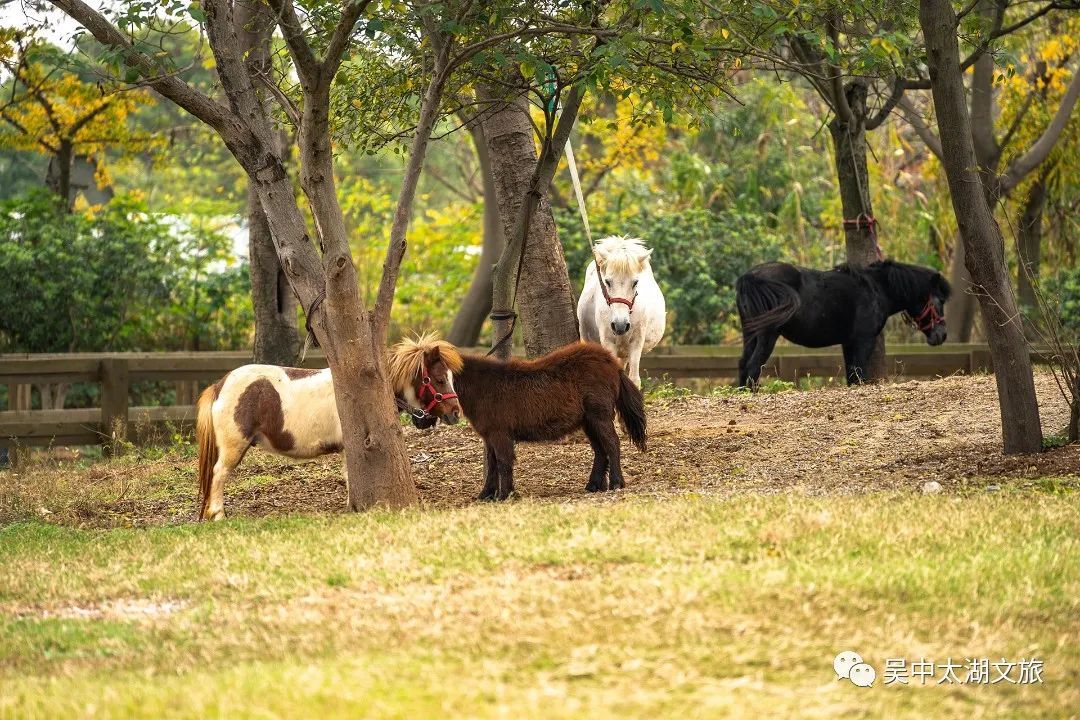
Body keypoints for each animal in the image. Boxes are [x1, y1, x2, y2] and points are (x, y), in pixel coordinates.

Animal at [388, 334, 643, 498]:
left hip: (599, 416)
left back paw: (616, 483)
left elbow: (503, 461)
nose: (453, 414)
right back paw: (593, 485)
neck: (482, 387)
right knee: (600, 450)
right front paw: (486, 495)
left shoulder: (499, 434)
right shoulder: (489, 435)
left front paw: (506, 494)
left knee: (612, 443)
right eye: (440, 379)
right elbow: (492, 463)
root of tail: (612, 363)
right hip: (588, 422)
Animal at [574, 236, 665, 386]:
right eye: (607, 282)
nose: (620, 325)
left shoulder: (636, 342)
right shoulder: (608, 342)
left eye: (635, 282)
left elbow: (634, 379)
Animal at [734, 260, 954, 388]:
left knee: (743, 364)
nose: (941, 335)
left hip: (750, 334)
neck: (876, 288)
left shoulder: (848, 344)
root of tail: (750, 276)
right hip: (767, 335)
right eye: (940, 301)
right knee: (753, 366)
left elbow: (852, 377)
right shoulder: (863, 342)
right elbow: (859, 374)